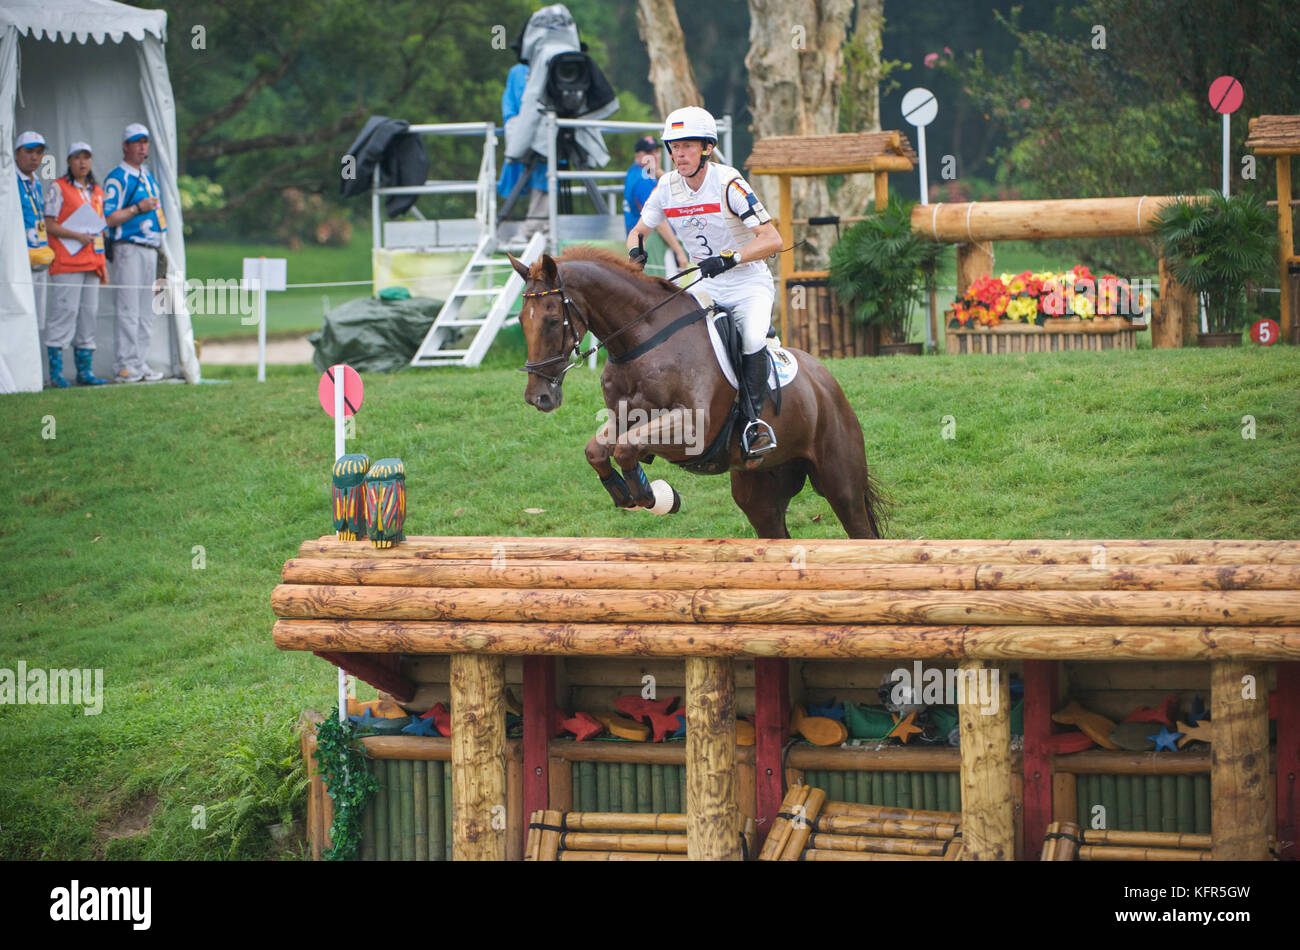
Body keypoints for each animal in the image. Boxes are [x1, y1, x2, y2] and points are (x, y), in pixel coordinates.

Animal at [504, 245, 883, 538]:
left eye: (553, 320)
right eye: (521, 320)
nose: (538, 397)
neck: (642, 341)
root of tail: (825, 380)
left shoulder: (693, 427)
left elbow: (625, 449)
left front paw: (655, 496)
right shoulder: (625, 420)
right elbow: (597, 451)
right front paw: (631, 496)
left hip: (840, 481)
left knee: (859, 529)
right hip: (760, 491)